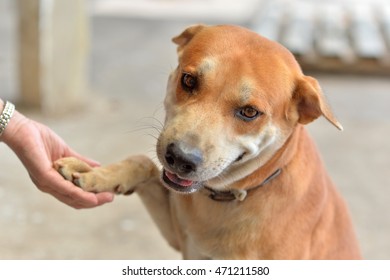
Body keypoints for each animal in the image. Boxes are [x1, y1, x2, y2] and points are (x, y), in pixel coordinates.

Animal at [54, 24, 360, 260]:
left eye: (250, 112)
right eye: (189, 80)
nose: (180, 159)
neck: (232, 197)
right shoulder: (180, 236)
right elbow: (142, 162)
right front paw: (96, 174)